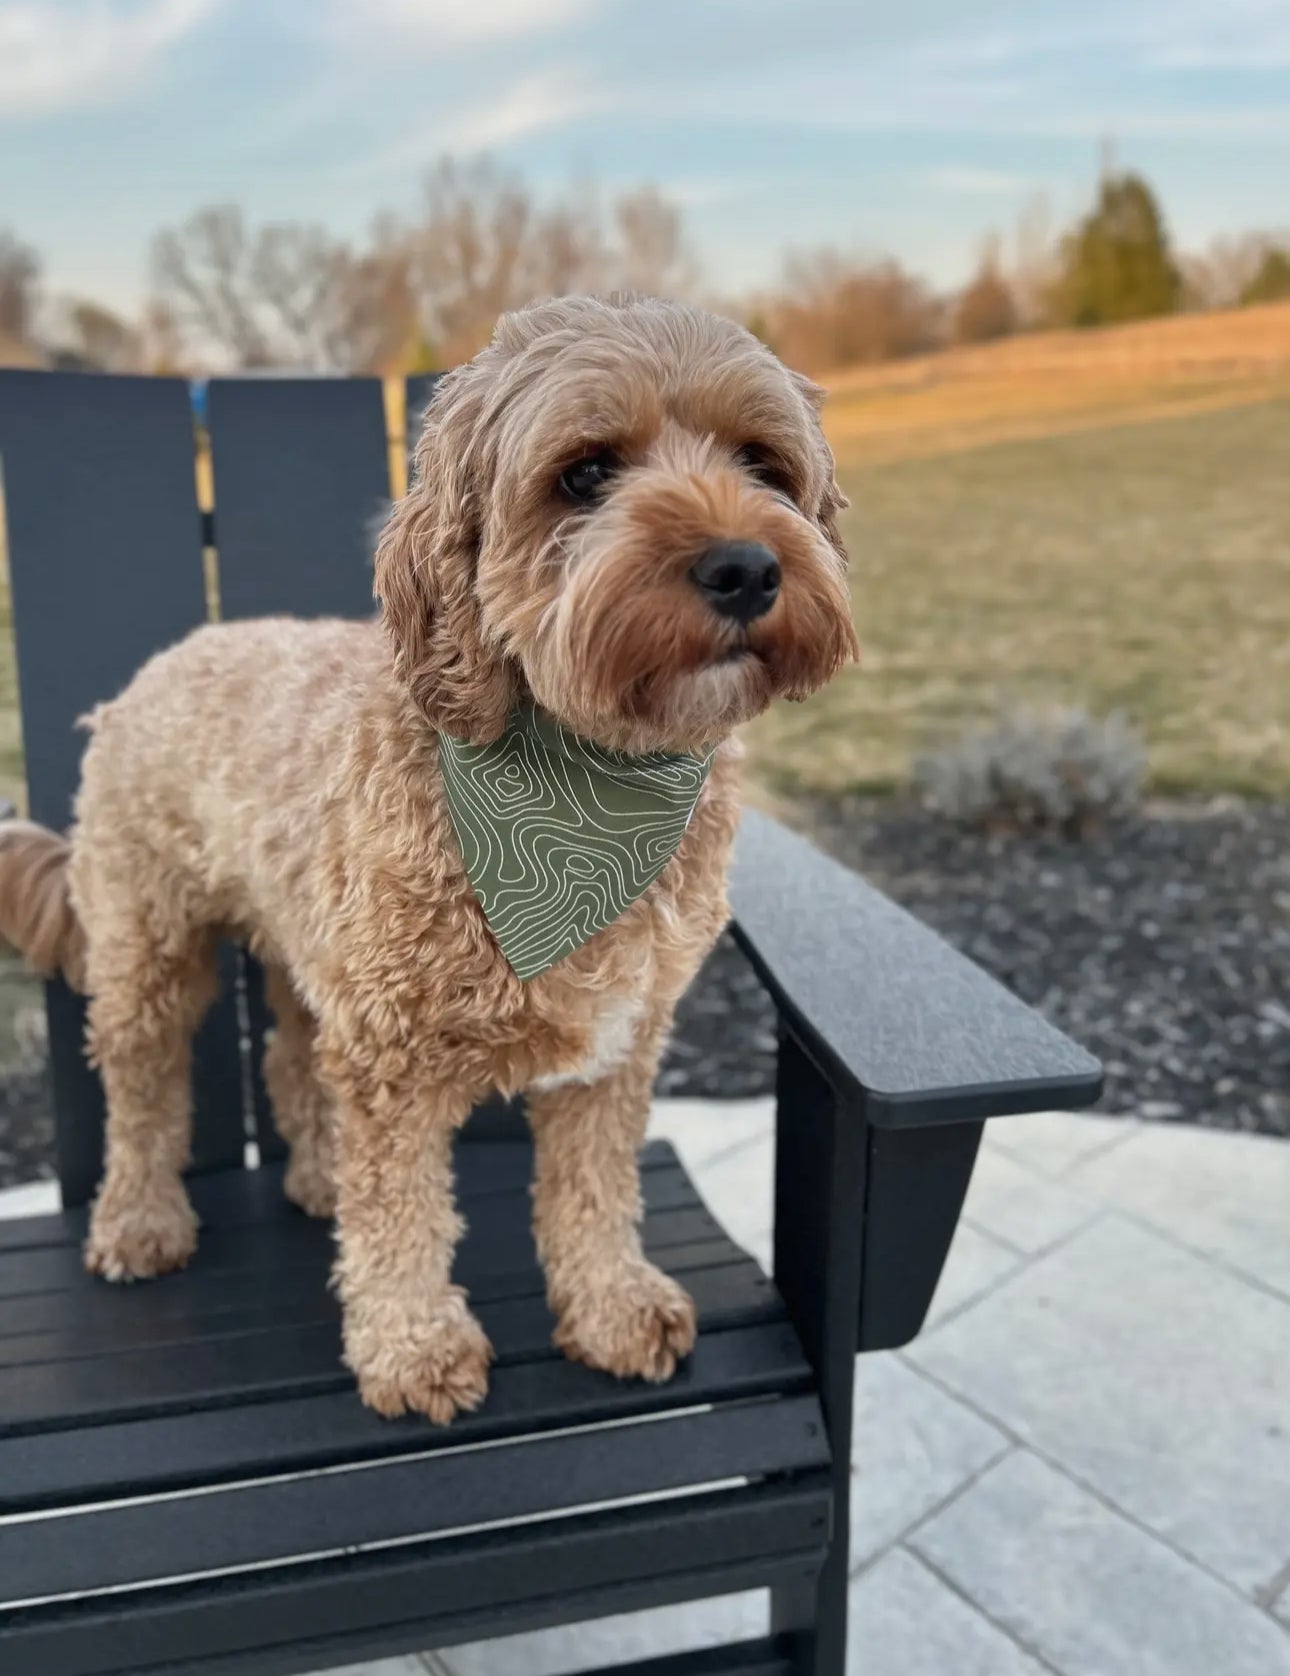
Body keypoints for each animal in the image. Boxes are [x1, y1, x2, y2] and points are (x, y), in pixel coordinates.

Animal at [0, 294, 854, 1421]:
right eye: (586, 471)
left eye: (763, 463)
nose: (748, 567)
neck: (588, 786)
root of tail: (150, 673)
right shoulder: (391, 1055)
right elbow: (401, 1211)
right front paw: (413, 1348)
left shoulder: (614, 1040)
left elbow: (593, 1188)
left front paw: (611, 1305)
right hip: (150, 948)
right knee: (143, 1090)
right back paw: (139, 1221)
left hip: (307, 944)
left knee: (288, 1057)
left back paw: (315, 1174)